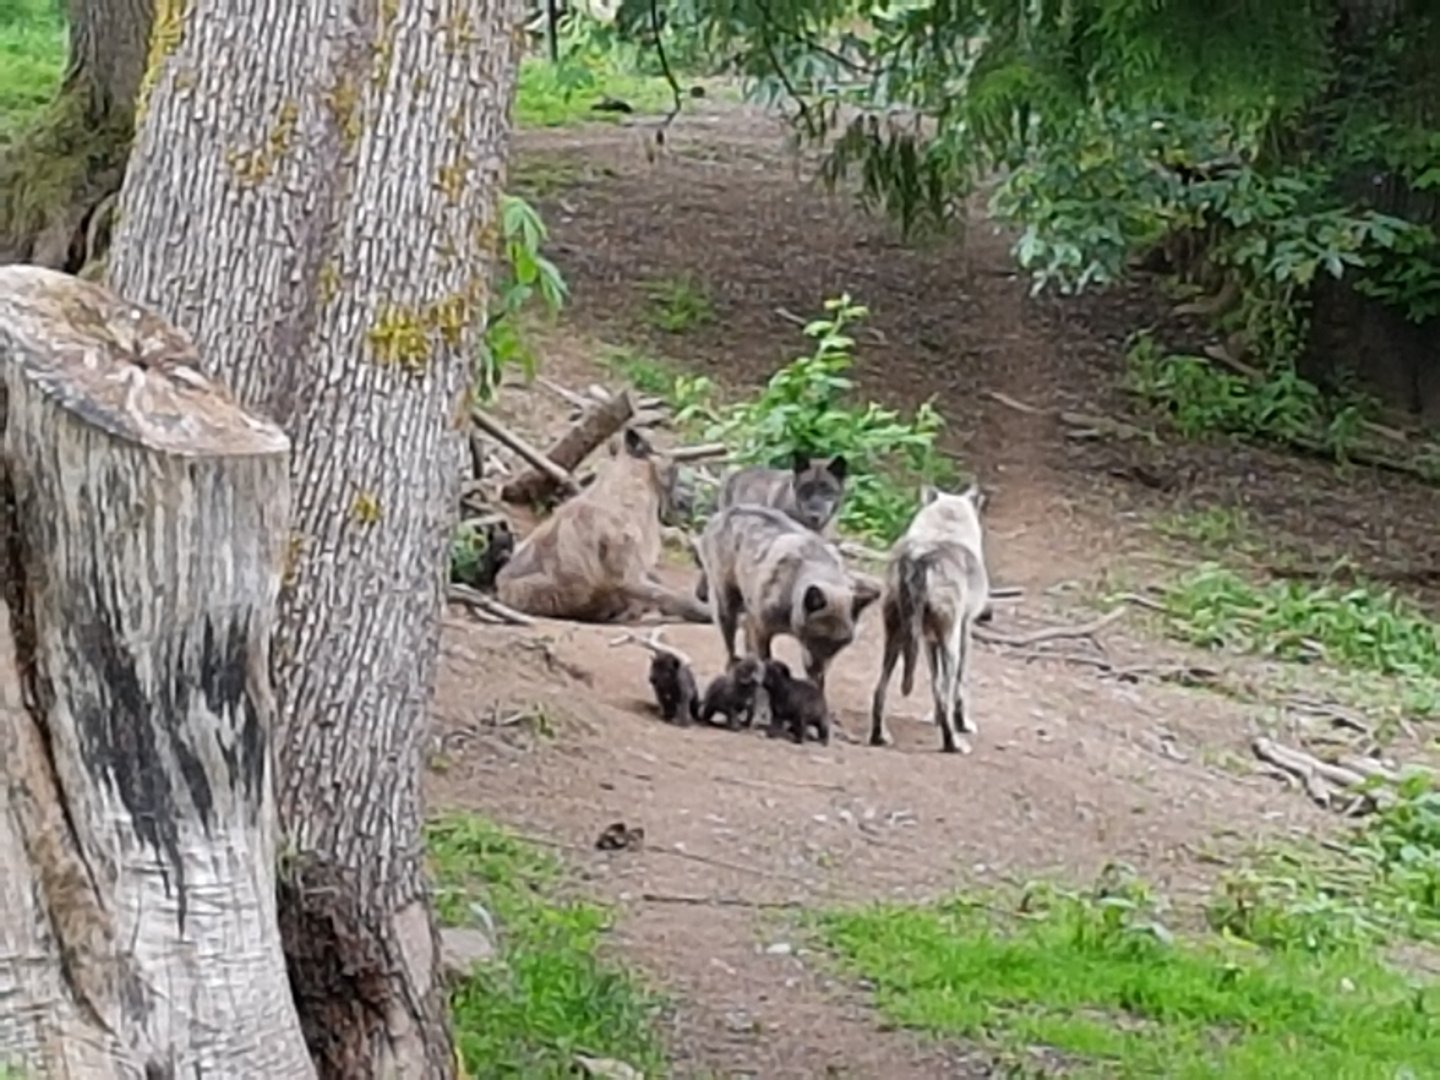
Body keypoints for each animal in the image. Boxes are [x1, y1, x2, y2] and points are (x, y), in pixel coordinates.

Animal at [696, 504, 880, 695]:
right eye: (816, 637)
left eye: (839, 643)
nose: (817, 668)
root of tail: (725, 512)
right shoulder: (761, 631)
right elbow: (765, 664)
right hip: (726, 607)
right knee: (730, 647)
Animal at [869, 483, 991, 753]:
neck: (946, 529)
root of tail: (918, 559)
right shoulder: (963, 632)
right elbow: (958, 687)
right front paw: (963, 723)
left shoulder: (927, 641)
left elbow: (936, 684)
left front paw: (934, 719)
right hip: (950, 644)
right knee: (946, 695)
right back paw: (954, 744)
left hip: (895, 640)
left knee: (879, 691)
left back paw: (879, 737)